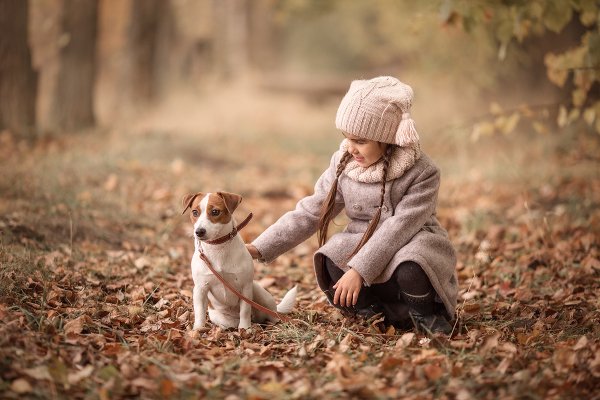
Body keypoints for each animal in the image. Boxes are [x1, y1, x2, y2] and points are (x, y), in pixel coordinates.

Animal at [182, 192, 296, 330]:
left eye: (215, 212)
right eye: (195, 212)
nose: (199, 231)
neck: (218, 247)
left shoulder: (245, 287)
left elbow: (245, 310)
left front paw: (245, 329)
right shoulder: (200, 289)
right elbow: (199, 312)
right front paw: (197, 330)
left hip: (260, 293)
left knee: (272, 314)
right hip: (219, 317)